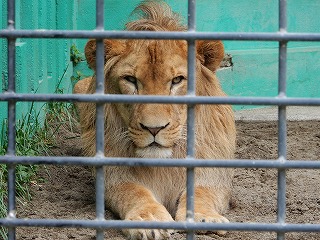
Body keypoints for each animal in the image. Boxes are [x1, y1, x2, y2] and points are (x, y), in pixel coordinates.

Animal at [74, 0, 236, 239]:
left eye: (177, 80)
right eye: (130, 80)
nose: (154, 129)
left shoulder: (212, 172)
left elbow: (201, 192)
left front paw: (204, 217)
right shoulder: (114, 174)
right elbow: (134, 192)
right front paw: (149, 219)